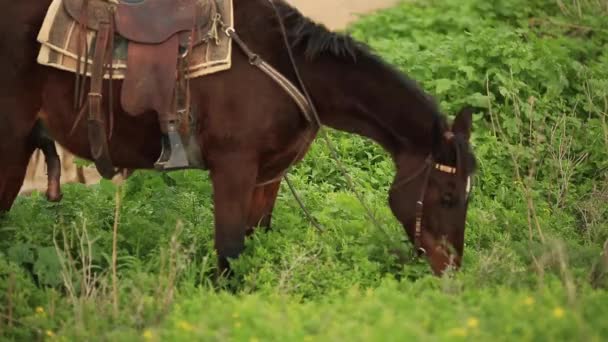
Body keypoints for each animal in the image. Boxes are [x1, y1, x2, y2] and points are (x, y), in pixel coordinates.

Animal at [0, 0, 476, 276]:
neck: (285, 65)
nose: (452, 269)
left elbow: (256, 237)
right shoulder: (233, 168)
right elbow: (230, 251)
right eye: (448, 195)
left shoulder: (267, 177)